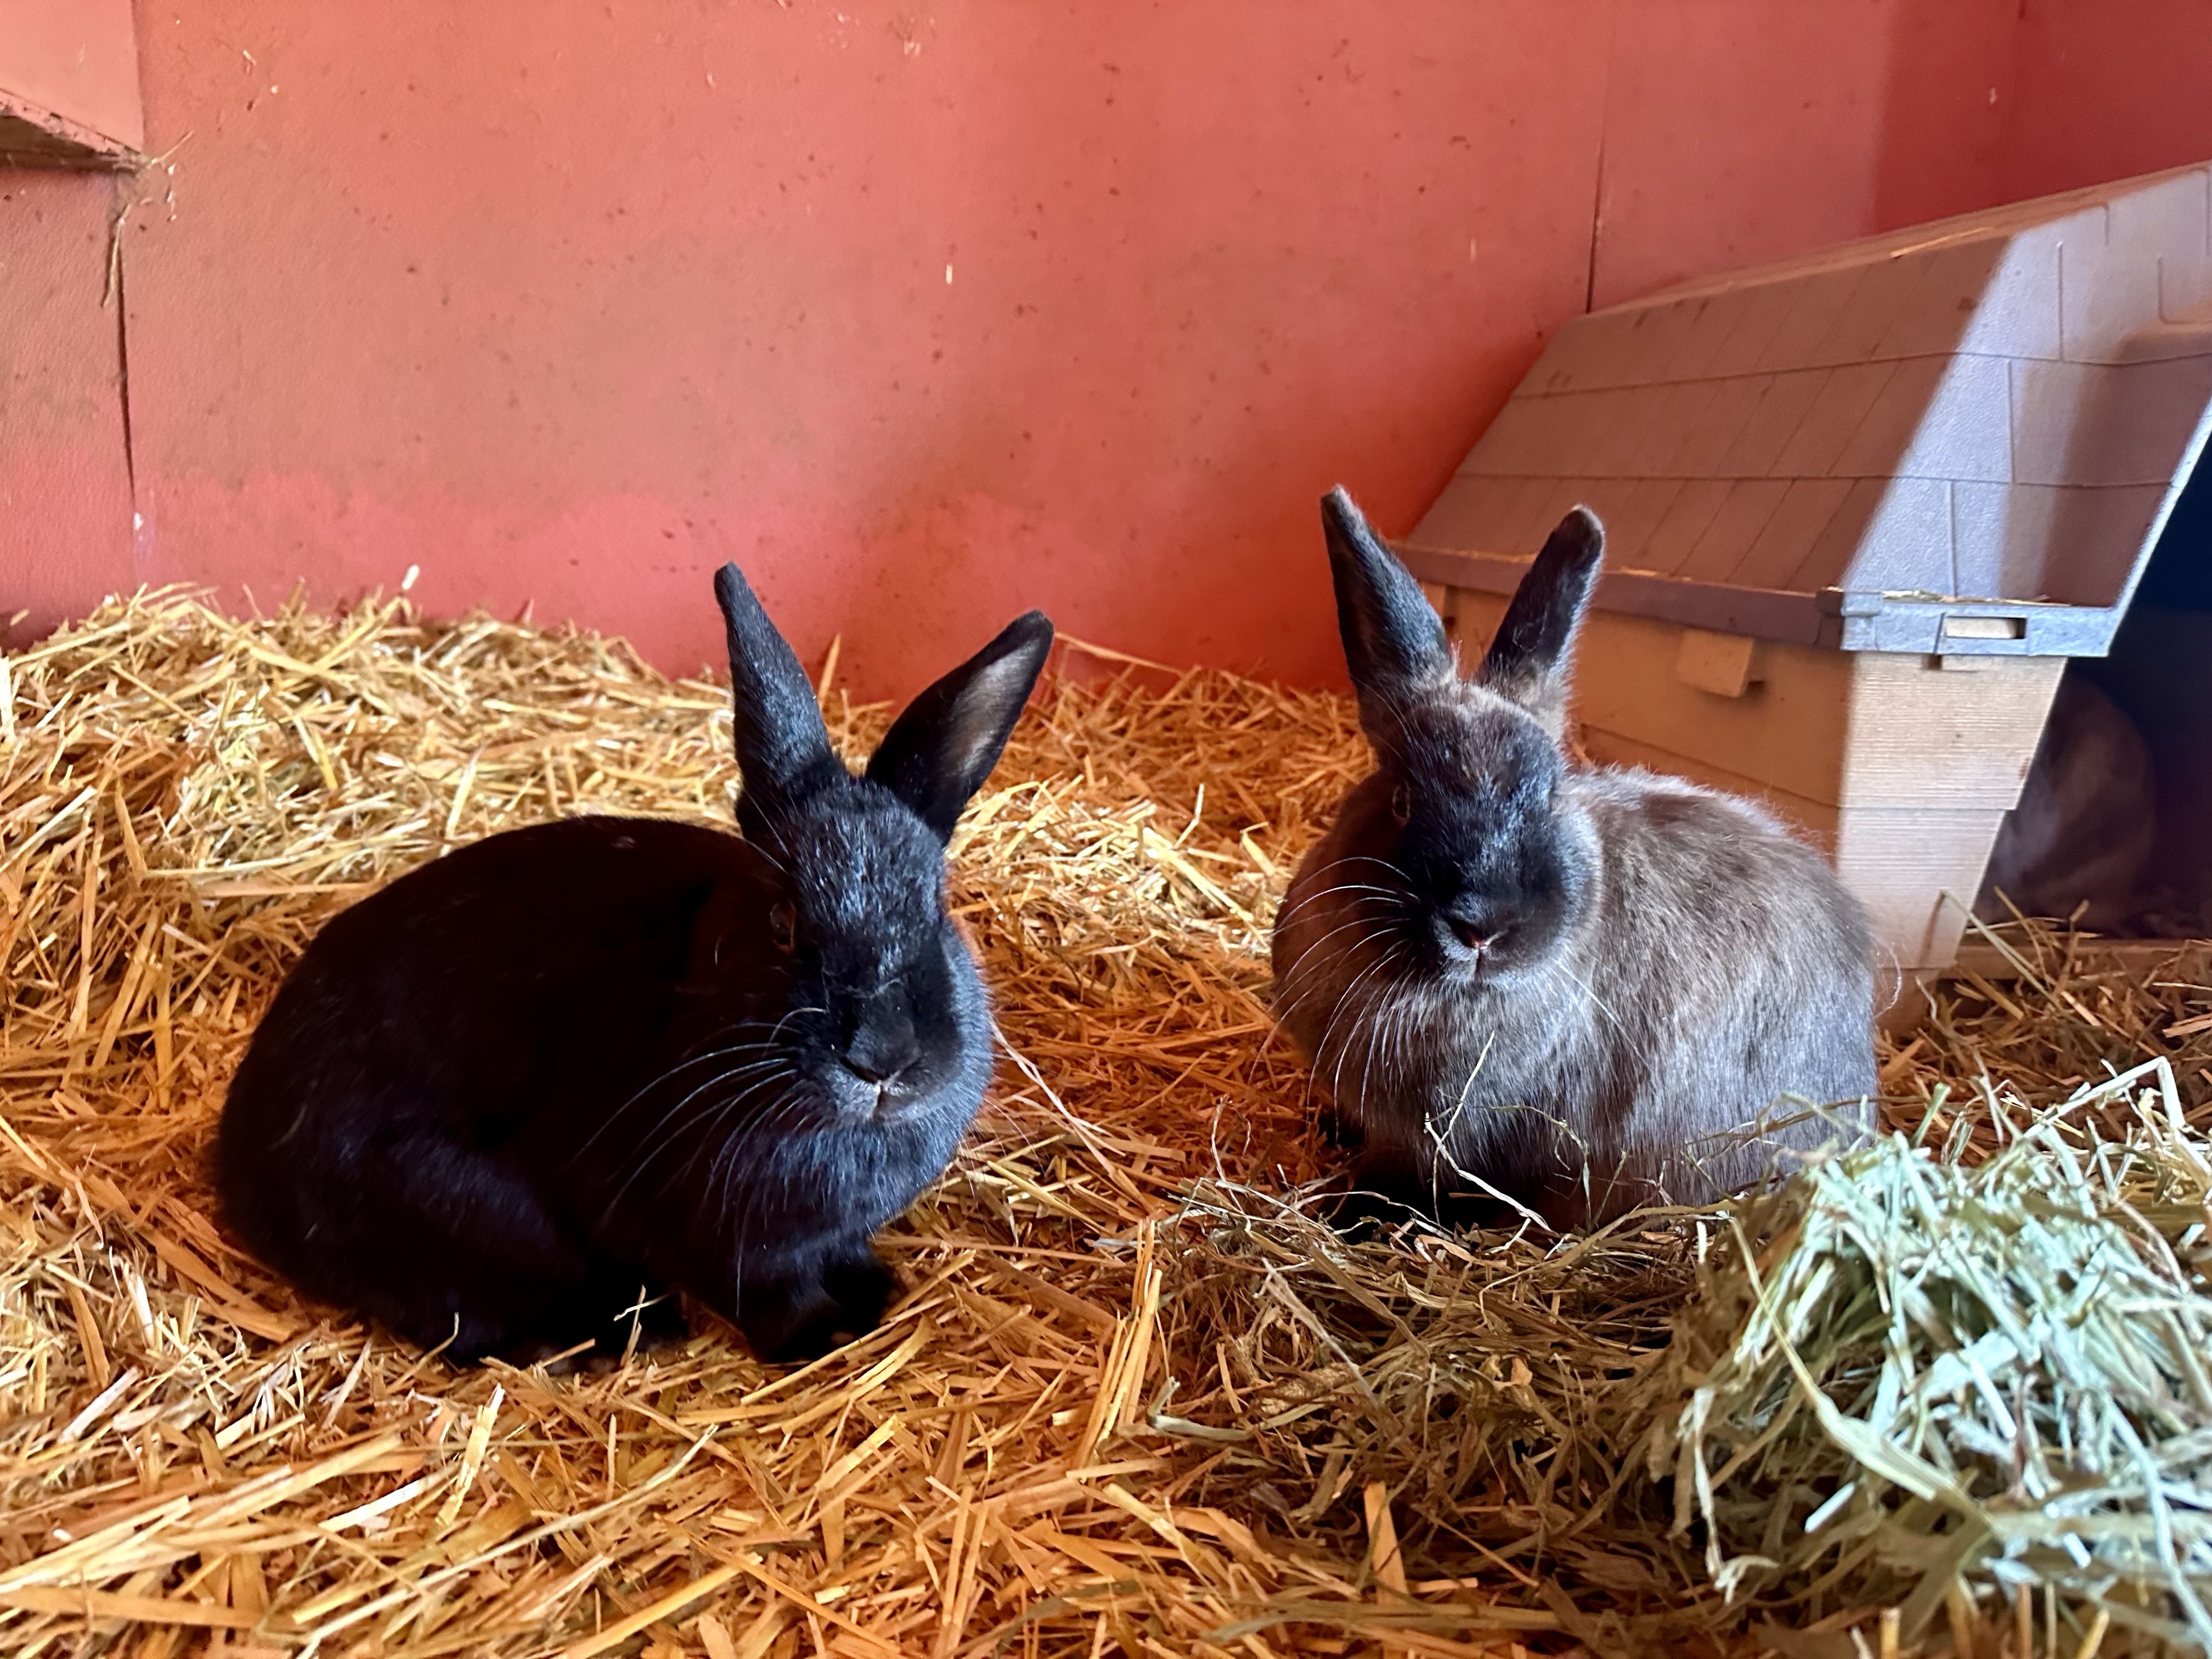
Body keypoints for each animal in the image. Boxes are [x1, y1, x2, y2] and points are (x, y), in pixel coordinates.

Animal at [216, 564, 1053, 1364]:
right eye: (783, 921)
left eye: (936, 907)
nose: (882, 1059)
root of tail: (240, 1169)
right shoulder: (737, 1250)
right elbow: (771, 1296)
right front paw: (821, 1339)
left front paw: (876, 1290)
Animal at [1271, 490, 1876, 1231]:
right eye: (1402, 798)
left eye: (1553, 791)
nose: (1482, 926)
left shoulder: (1438, 1142)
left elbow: (1403, 1182)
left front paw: (1347, 1215)